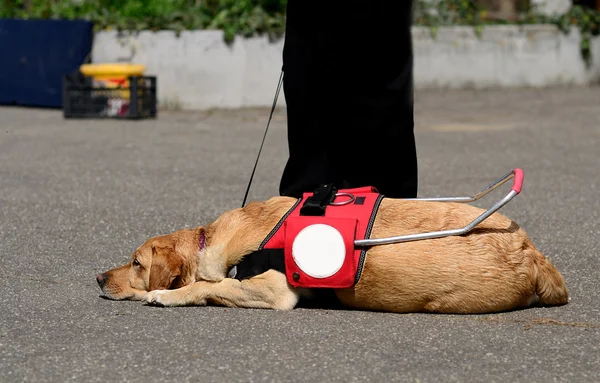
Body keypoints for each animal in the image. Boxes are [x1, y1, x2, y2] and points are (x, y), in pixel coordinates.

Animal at [96, 195, 568, 316]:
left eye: (136, 264)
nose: (98, 278)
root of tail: (530, 251)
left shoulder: (275, 291)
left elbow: (206, 286)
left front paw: (164, 295)